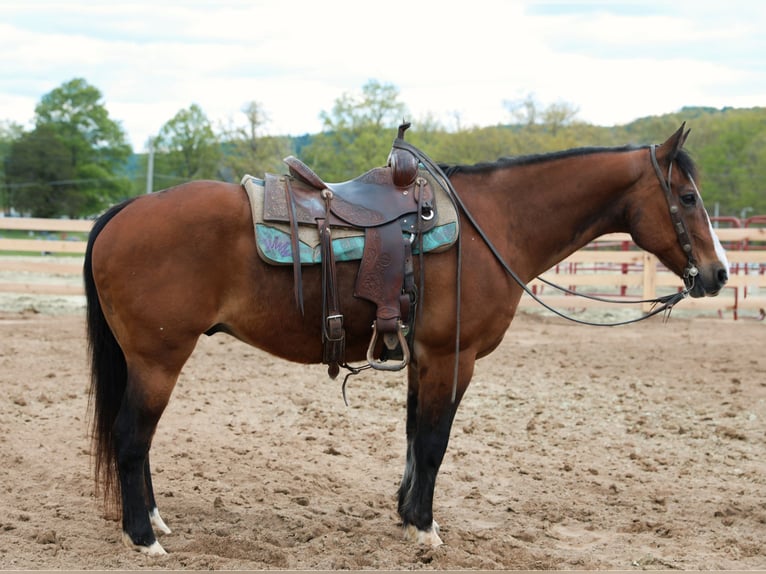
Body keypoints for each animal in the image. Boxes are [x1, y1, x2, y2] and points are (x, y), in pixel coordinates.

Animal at [84, 124, 728, 555]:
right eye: (688, 197)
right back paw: (143, 537)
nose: (719, 274)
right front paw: (424, 527)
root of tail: (125, 211)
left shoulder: (421, 358)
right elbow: (435, 441)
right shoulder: (452, 357)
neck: (491, 225)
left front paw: (404, 513)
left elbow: (415, 436)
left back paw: (156, 521)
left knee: (137, 439)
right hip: (159, 359)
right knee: (132, 436)